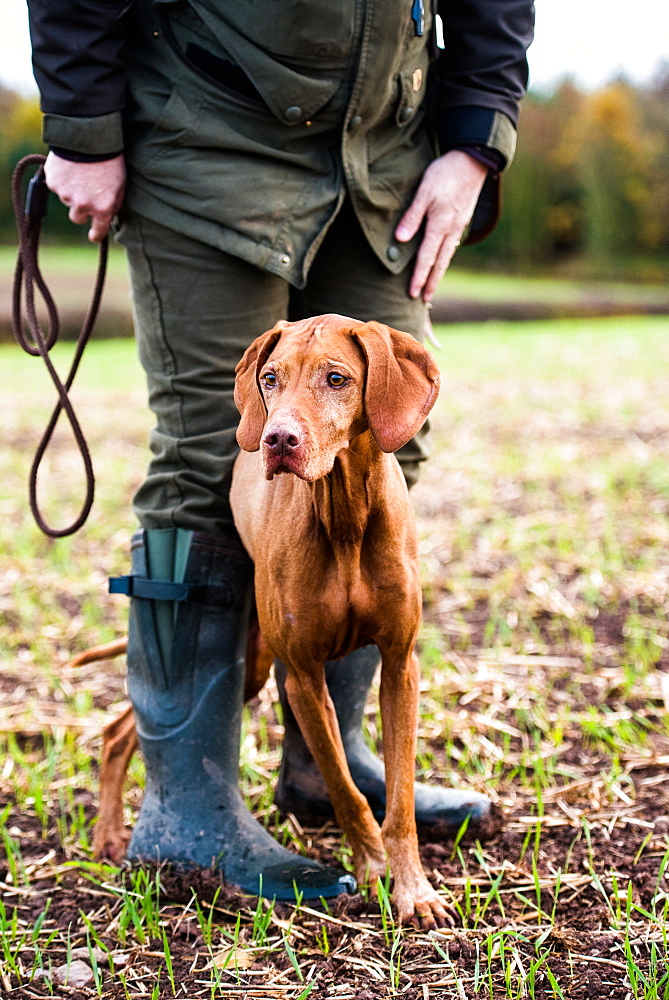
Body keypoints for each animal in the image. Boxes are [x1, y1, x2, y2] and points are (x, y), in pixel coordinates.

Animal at [78, 314, 446, 928]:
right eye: (271, 378)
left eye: (337, 379)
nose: (277, 439)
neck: (344, 515)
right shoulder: (301, 676)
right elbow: (344, 790)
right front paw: (370, 869)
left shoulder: (400, 666)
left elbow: (399, 801)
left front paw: (413, 889)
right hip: (256, 657)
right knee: (128, 727)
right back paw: (113, 836)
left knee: (122, 729)